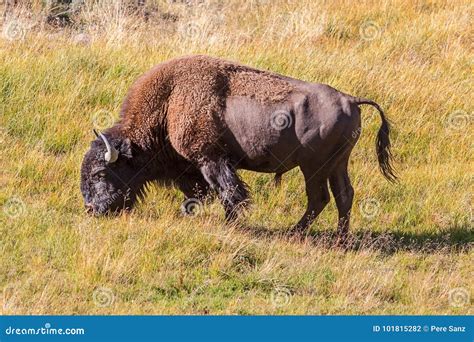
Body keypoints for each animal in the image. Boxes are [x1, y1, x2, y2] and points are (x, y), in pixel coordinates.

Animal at [81, 55, 396, 238]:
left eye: (100, 173)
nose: (91, 209)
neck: (169, 104)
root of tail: (350, 100)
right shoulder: (195, 169)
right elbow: (203, 192)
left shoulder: (211, 160)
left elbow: (228, 192)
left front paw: (229, 223)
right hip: (336, 164)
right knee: (343, 195)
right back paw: (340, 240)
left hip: (314, 167)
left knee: (319, 198)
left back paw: (295, 232)